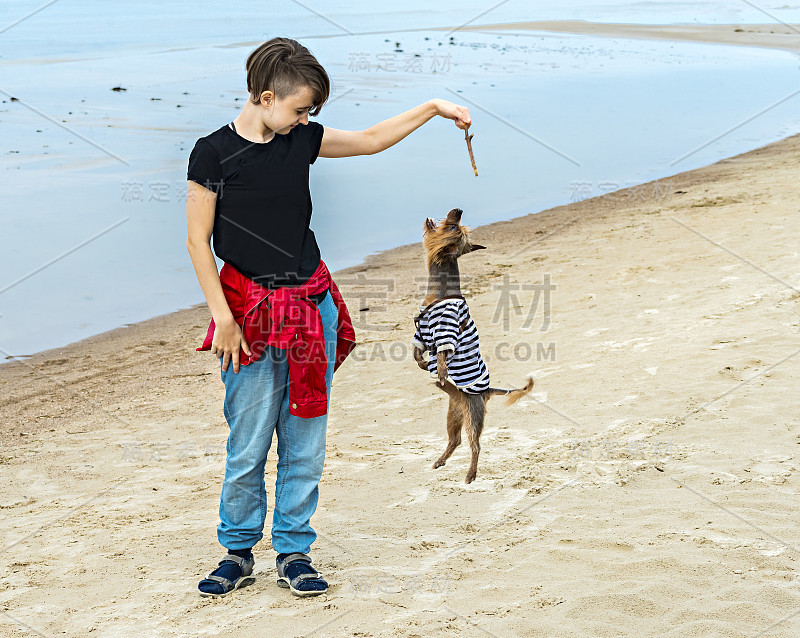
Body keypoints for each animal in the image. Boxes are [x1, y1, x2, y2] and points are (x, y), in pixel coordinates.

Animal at [412, 210, 532, 484]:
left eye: (454, 226)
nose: (457, 210)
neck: (439, 292)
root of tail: (486, 392)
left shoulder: (447, 332)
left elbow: (443, 353)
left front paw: (441, 370)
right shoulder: (421, 331)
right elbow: (417, 349)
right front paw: (423, 362)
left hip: (473, 419)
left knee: (474, 446)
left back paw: (470, 473)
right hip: (453, 415)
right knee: (454, 440)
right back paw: (441, 459)